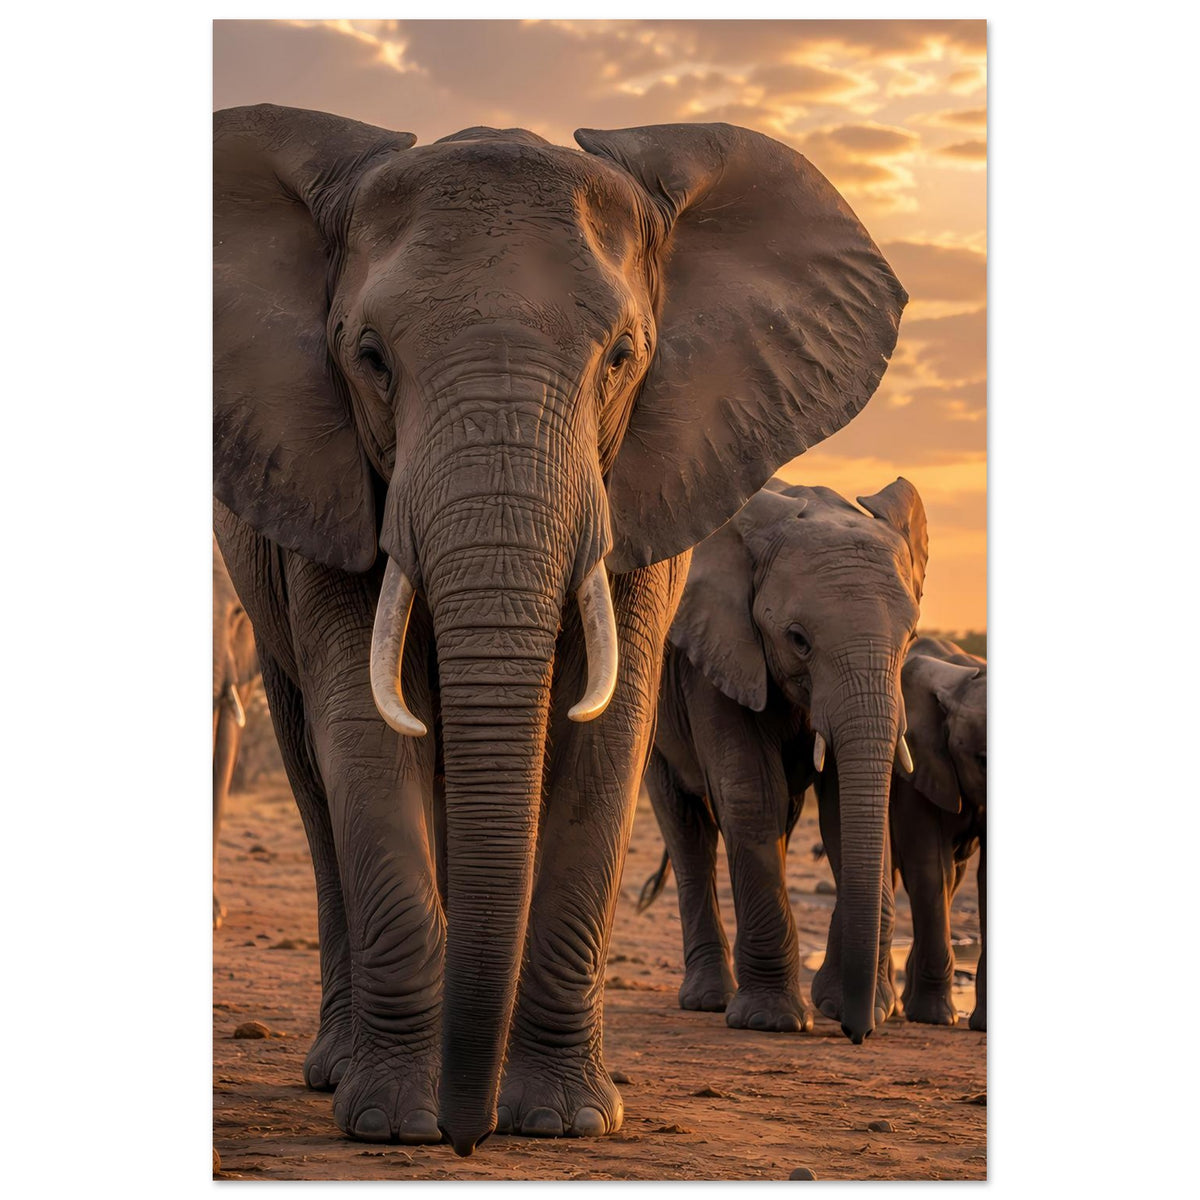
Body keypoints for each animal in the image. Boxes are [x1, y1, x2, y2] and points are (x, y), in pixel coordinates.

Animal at [641, 478, 927, 1042]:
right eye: (798, 639)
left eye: (909, 638)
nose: (858, 1034)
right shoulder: (715, 657)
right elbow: (751, 794)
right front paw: (768, 1022)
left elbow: (844, 807)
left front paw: (854, 1007)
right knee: (687, 827)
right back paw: (708, 1000)